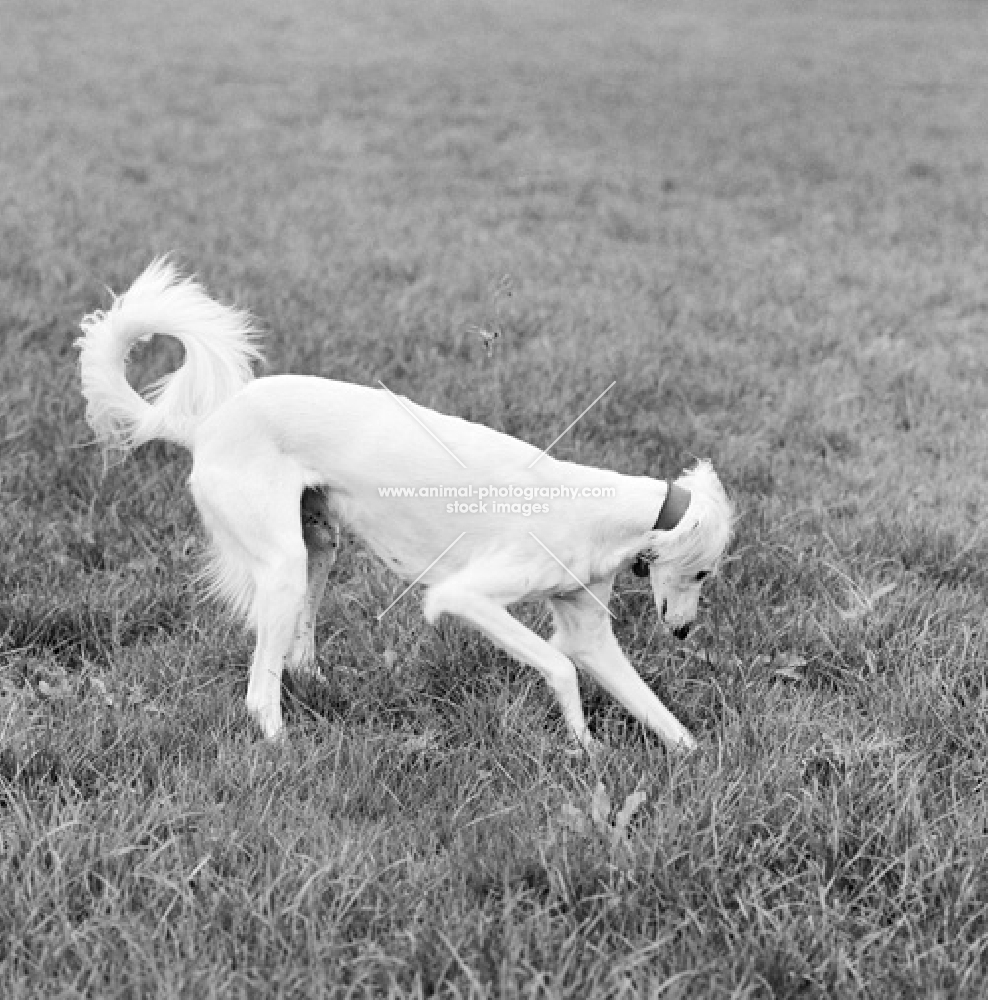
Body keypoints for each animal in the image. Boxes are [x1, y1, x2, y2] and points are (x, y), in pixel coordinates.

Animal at [79, 262, 732, 752]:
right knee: (259, 693)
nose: (683, 632)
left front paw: (697, 762)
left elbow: (655, 711)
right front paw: (585, 745)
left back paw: (319, 689)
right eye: (702, 572)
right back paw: (281, 746)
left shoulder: (589, 630)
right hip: (283, 565)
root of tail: (205, 425)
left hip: (318, 547)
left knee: (296, 656)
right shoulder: (463, 598)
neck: (605, 513)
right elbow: (561, 667)